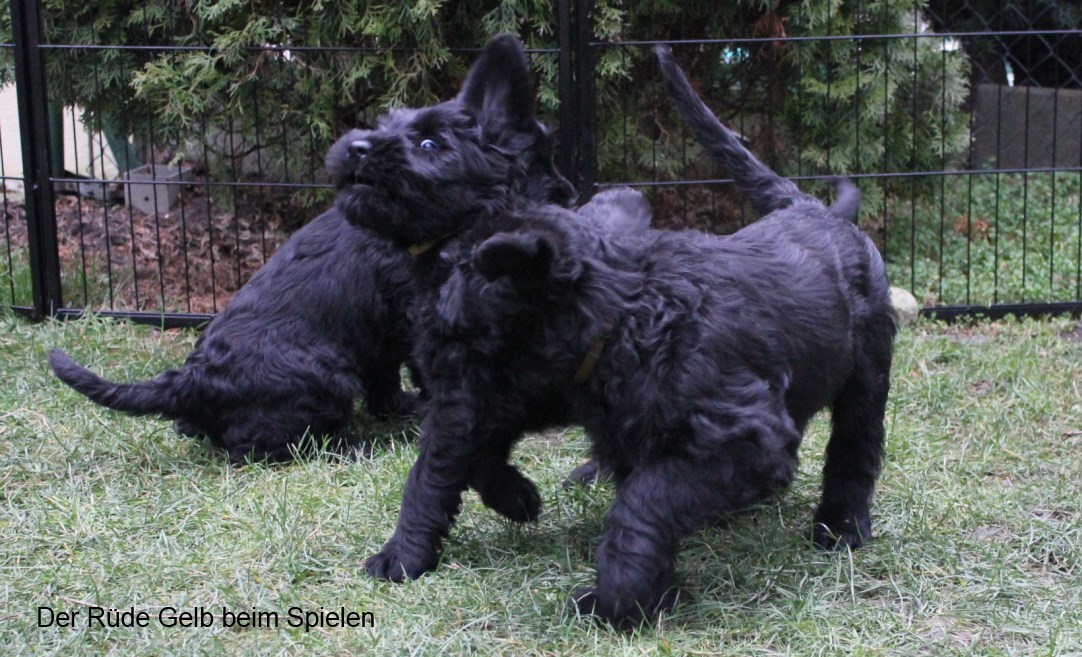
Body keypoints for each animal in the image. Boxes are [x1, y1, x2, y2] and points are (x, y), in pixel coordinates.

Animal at [48, 35, 575, 467]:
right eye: (426, 144)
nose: (356, 147)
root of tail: (190, 383)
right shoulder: (417, 316)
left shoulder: (386, 334)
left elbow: (387, 376)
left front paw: (405, 409)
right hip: (325, 375)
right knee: (262, 446)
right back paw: (353, 446)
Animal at [361, 48, 895, 627]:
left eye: (460, 266)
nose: (421, 325)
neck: (624, 319)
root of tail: (814, 209)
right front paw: (648, 590)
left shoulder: (743, 435)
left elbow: (641, 506)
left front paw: (613, 600)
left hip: (868, 374)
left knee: (855, 449)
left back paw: (841, 527)